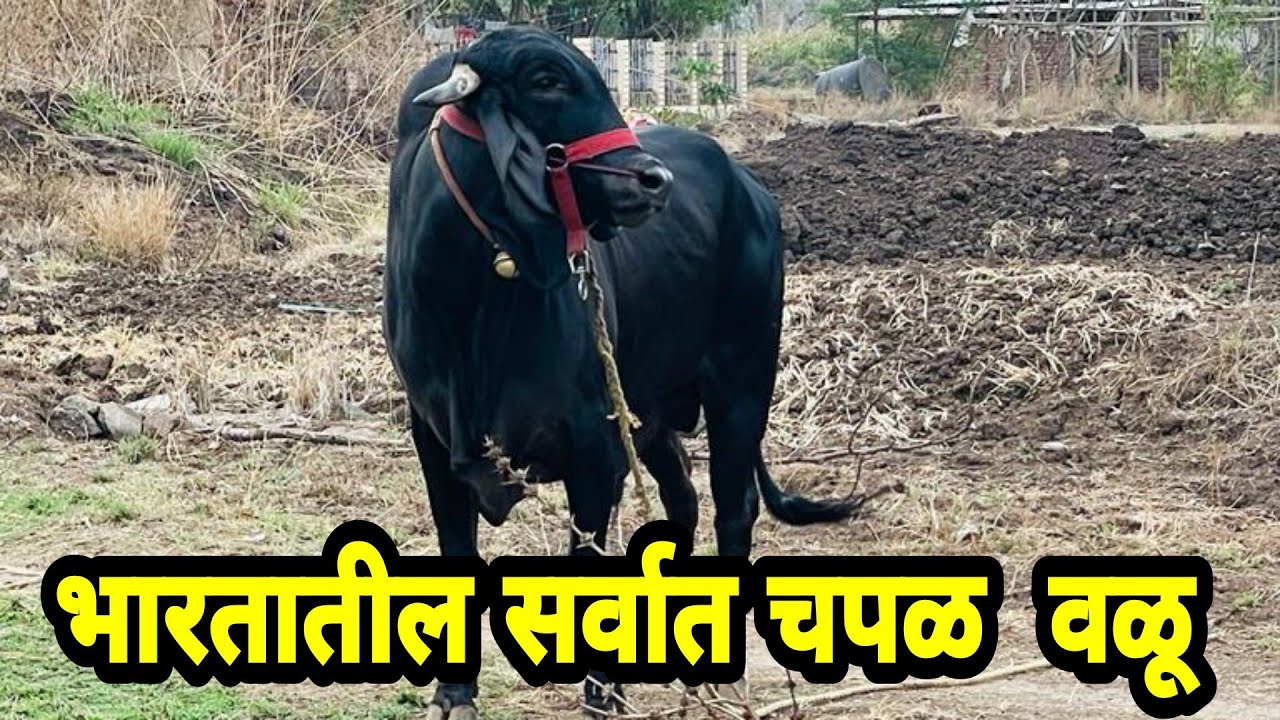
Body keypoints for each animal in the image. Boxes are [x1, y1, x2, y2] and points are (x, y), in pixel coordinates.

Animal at [385, 27, 863, 718]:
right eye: (547, 80)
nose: (653, 180)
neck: (475, 301)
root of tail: (748, 187)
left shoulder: (594, 445)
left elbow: (588, 561)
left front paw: (602, 688)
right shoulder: (432, 433)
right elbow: (457, 543)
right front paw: (454, 691)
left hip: (742, 386)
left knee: (733, 506)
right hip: (654, 411)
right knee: (681, 496)